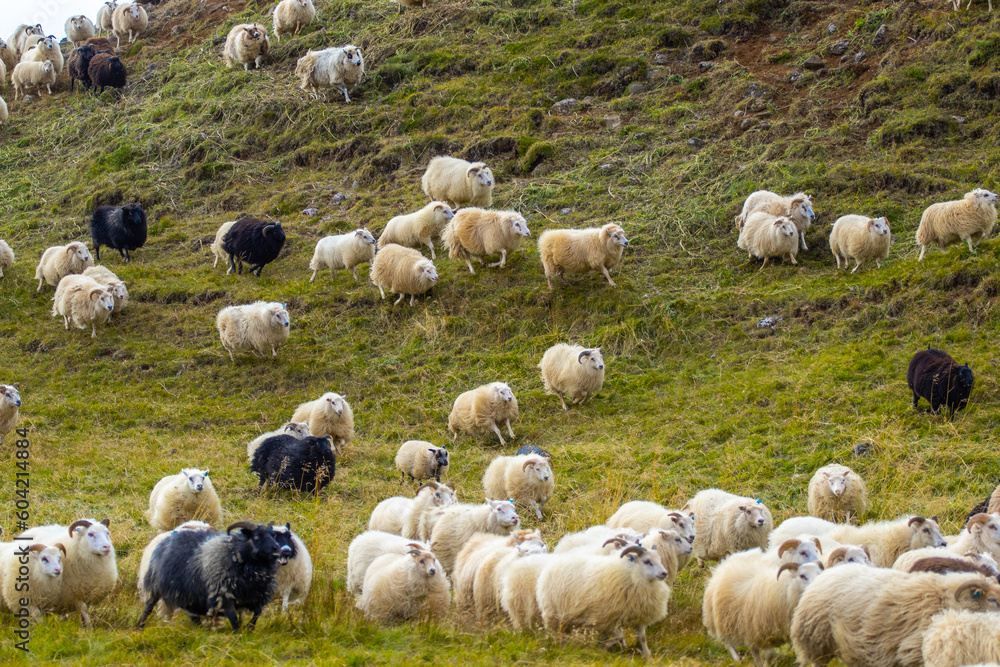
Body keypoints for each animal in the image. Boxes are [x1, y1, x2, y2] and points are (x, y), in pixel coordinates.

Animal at [138, 521, 284, 631]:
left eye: (273, 535)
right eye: (256, 537)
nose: (277, 548)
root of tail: (167, 538)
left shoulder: (256, 595)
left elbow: (257, 614)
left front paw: (250, 629)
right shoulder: (223, 597)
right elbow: (234, 620)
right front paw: (237, 636)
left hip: (188, 593)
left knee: (192, 615)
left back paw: (201, 629)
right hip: (155, 586)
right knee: (149, 607)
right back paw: (140, 626)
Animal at [537, 545, 671, 659]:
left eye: (659, 560)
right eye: (647, 561)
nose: (664, 573)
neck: (633, 575)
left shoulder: (639, 614)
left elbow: (642, 638)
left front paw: (648, 657)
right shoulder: (611, 615)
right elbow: (619, 636)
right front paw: (603, 646)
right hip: (553, 613)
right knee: (555, 632)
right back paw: (557, 646)